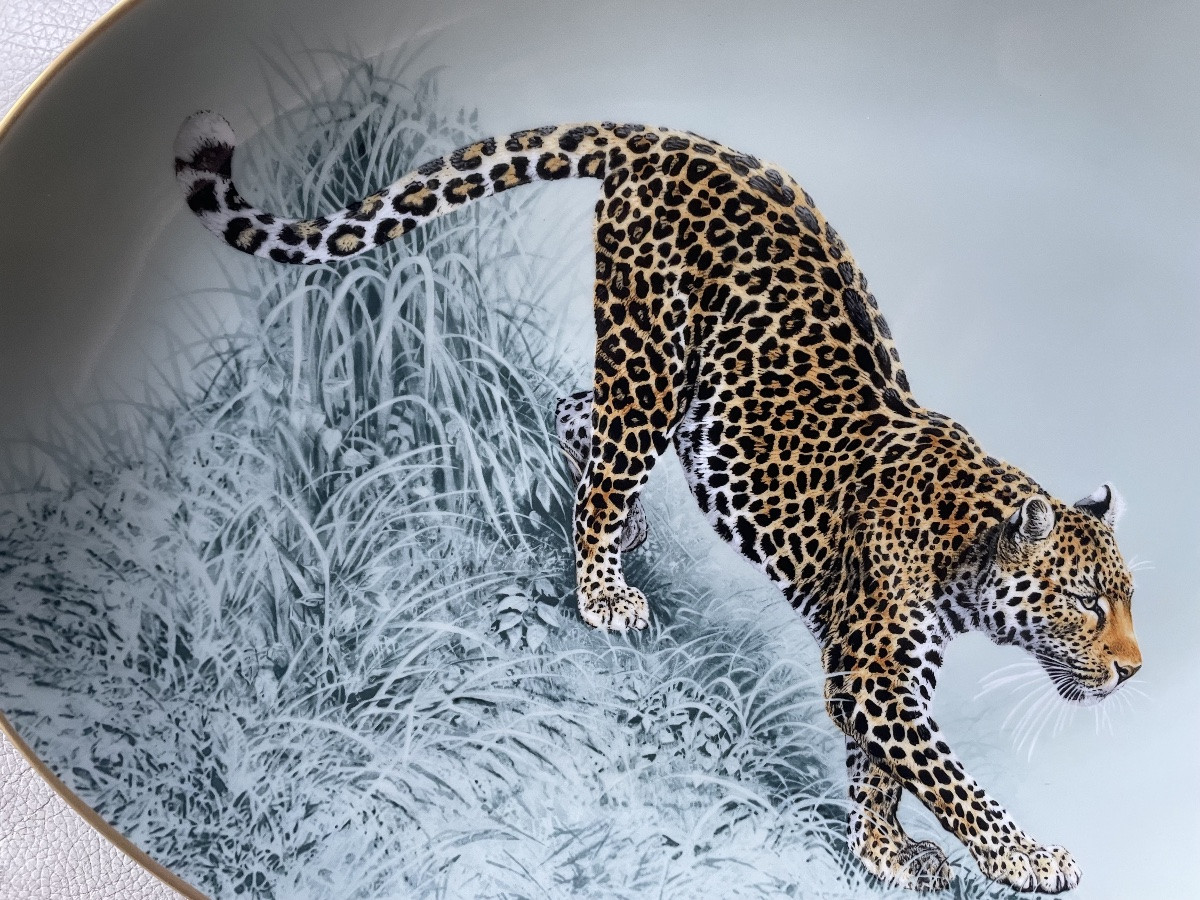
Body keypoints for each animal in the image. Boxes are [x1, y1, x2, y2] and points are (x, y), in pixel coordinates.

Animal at [174, 111, 1142, 894]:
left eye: (1131, 602)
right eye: (1087, 602)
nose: (1133, 672)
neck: (966, 555)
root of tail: (669, 139)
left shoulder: (872, 677)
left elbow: (878, 772)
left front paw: (884, 855)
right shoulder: (875, 672)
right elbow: (949, 780)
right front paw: (1028, 859)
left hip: (661, 390)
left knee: (574, 416)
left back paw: (617, 529)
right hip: (652, 361)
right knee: (603, 465)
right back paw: (602, 589)